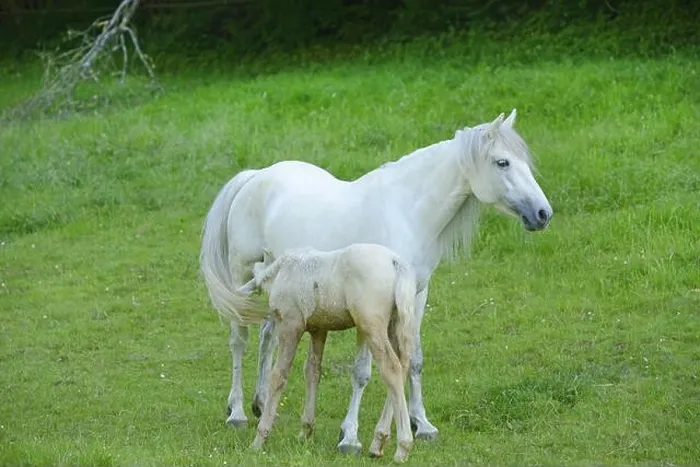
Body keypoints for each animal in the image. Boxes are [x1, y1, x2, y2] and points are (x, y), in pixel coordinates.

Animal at [224, 244, 418, 462]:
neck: (284, 270)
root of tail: (395, 262)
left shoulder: (291, 326)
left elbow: (278, 376)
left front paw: (259, 439)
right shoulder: (319, 329)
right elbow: (312, 371)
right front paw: (305, 432)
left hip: (372, 327)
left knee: (391, 369)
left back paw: (402, 447)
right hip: (396, 325)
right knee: (403, 366)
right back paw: (378, 443)